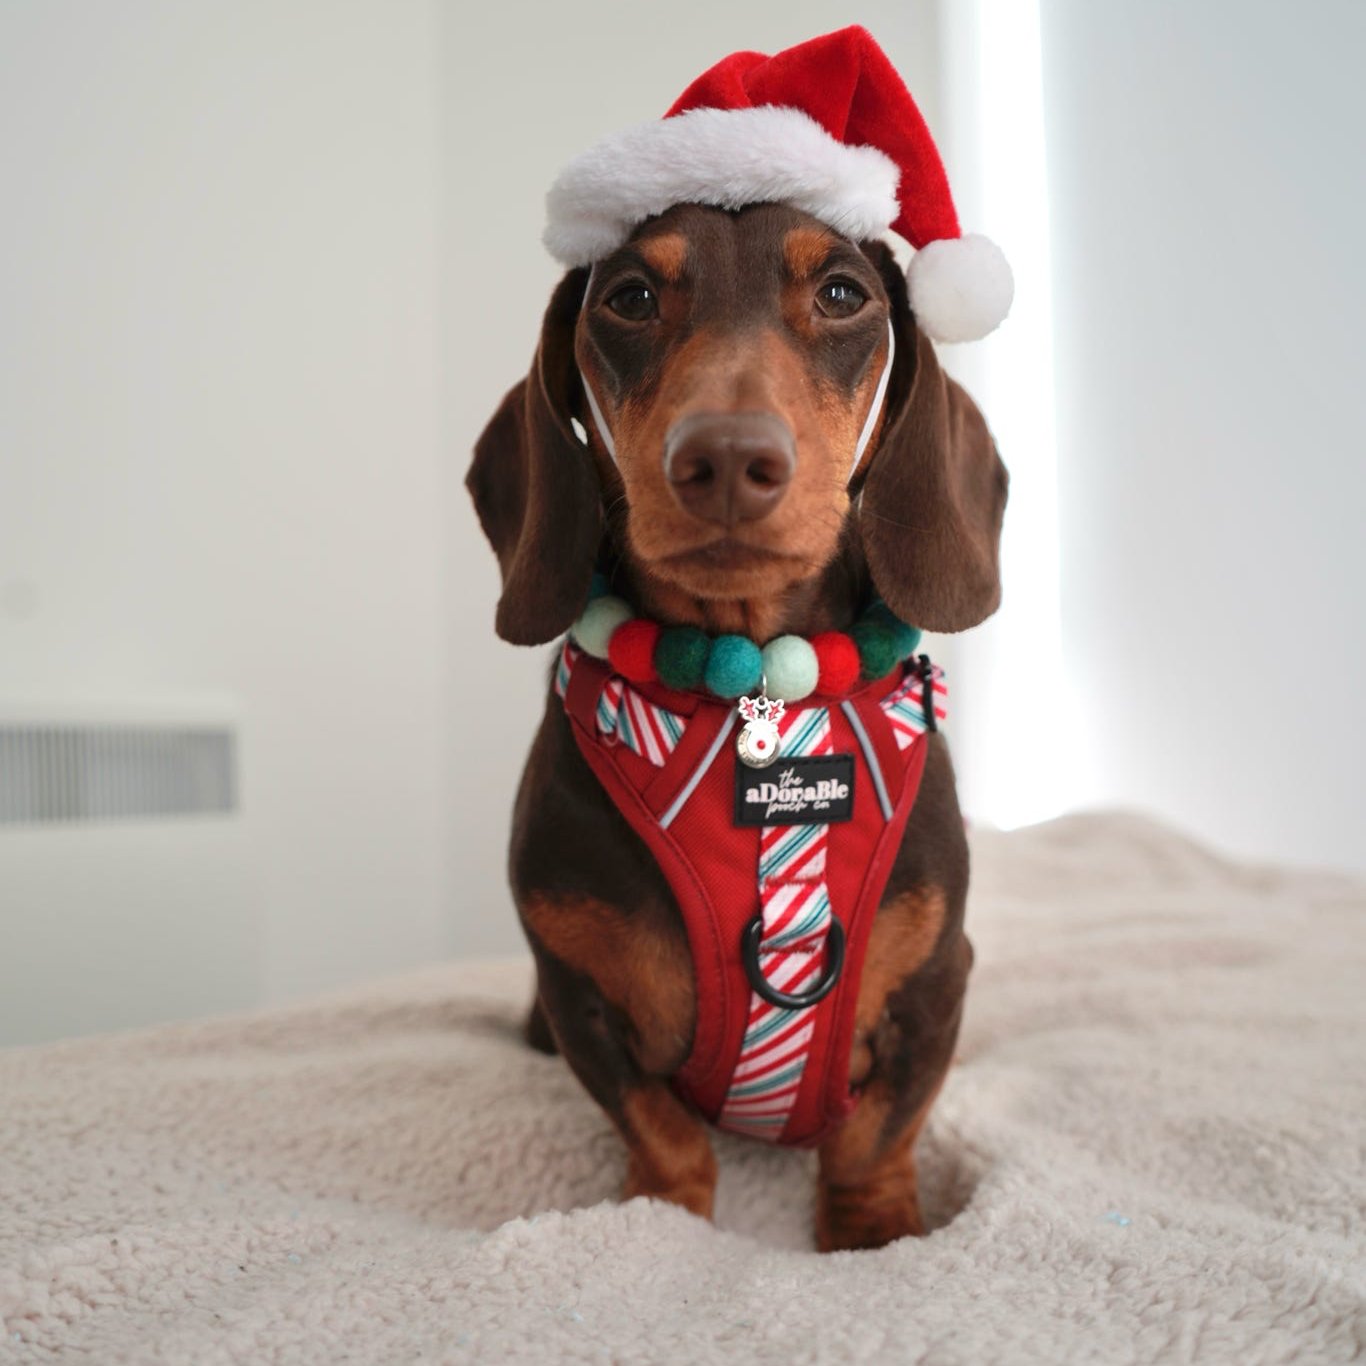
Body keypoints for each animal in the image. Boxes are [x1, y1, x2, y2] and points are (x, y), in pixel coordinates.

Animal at [464, 29, 1010, 1256]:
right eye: (628, 295)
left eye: (843, 291)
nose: (723, 461)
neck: (755, 685)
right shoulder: (575, 989)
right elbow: (661, 1125)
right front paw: (661, 1218)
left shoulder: (937, 980)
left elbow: (878, 1130)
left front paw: (873, 1230)